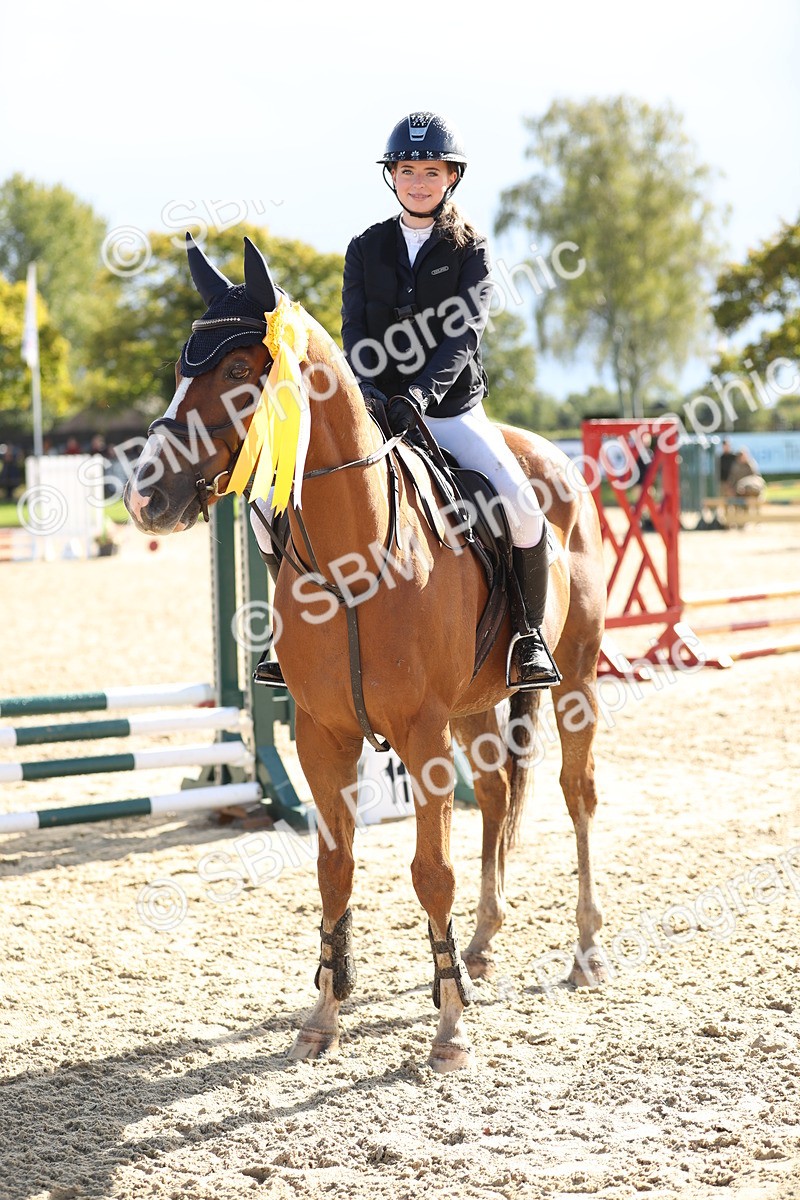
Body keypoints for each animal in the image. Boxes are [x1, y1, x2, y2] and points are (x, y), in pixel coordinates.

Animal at [124, 234, 608, 1072]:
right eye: (183, 364)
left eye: (240, 370)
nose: (147, 498)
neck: (354, 555)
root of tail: (550, 456)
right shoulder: (324, 735)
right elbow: (334, 867)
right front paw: (325, 1011)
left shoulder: (421, 733)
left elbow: (431, 872)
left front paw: (449, 1027)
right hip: (475, 707)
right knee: (498, 794)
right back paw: (480, 946)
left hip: (573, 675)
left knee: (576, 794)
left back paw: (583, 951)